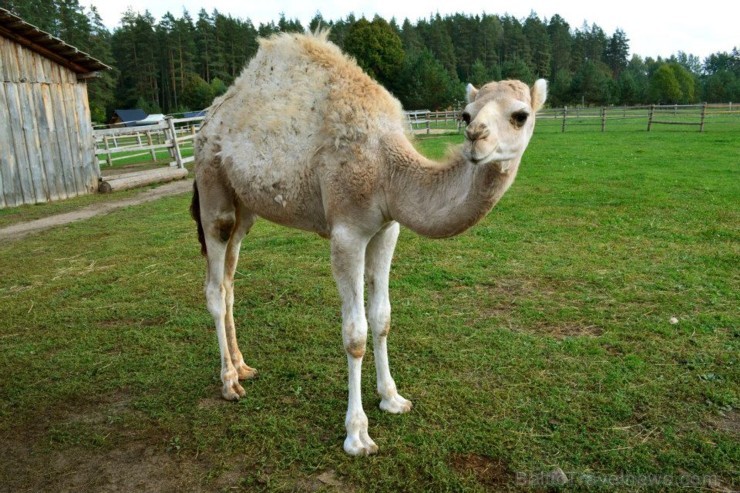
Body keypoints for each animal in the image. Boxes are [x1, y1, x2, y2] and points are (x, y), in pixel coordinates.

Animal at [194, 29, 548, 454]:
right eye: (466, 113)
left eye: (520, 115)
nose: (475, 137)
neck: (387, 167)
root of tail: (209, 120)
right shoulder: (347, 232)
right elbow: (355, 334)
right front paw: (357, 434)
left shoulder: (386, 228)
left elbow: (382, 318)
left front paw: (392, 398)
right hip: (212, 187)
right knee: (214, 285)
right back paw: (229, 382)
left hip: (245, 207)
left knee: (230, 281)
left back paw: (243, 366)